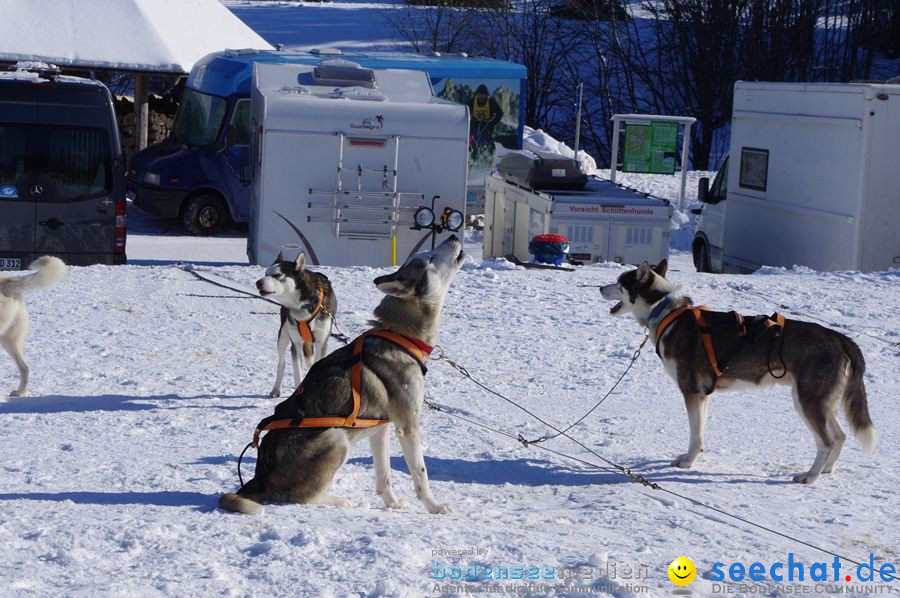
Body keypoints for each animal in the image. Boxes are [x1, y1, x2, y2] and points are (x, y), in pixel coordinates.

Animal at [256, 252, 338, 398]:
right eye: (265, 273)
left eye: (277, 275)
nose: (258, 282)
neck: (305, 305)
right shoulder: (296, 344)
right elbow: (297, 373)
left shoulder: (321, 343)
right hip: (283, 337)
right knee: (281, 363)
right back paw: (276, 389)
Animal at [600, 262, 876, 488]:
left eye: (620, 282)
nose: (601, 287)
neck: (666, 312)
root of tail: (840, 339)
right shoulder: (704, 394)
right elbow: (699, 433)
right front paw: (692, 456)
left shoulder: (691, 391)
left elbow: (693, 433)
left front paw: (687, 462)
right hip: (820, 403)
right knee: (839, 437)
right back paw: (827, 470)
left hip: (807, 401)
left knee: (827, 442)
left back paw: (810, 476)